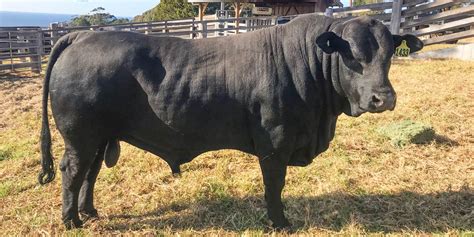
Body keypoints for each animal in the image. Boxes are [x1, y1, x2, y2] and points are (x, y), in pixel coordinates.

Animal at [37, 13, 422, 229]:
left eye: (390, 53)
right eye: (351, 54)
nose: (384, 98)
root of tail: (83, 34)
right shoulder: (275, 144)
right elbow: (274, 187)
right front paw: (281, 223)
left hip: (99, 135)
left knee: (90, 173)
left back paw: (89, 212)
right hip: (80, 136)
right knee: (73, 171)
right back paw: (71, 221)